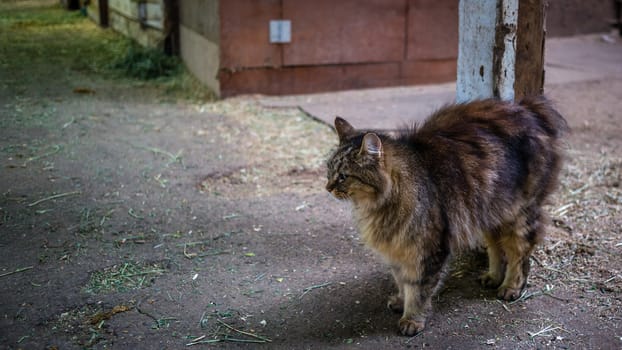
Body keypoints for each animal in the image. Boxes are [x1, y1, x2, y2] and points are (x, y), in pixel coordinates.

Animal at [326, 96, 572, 336]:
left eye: (343, 176)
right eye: (329, 170)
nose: (327, 187)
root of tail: (527, 107)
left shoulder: (428, 248)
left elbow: (418, 289)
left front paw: (412, 319)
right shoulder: (397, 249)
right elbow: (401, 280)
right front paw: (400, 301)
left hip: (520, 214)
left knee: (520, 254)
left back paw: (511, 287)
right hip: (488, 212)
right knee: (496, 248)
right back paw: (492, 277)